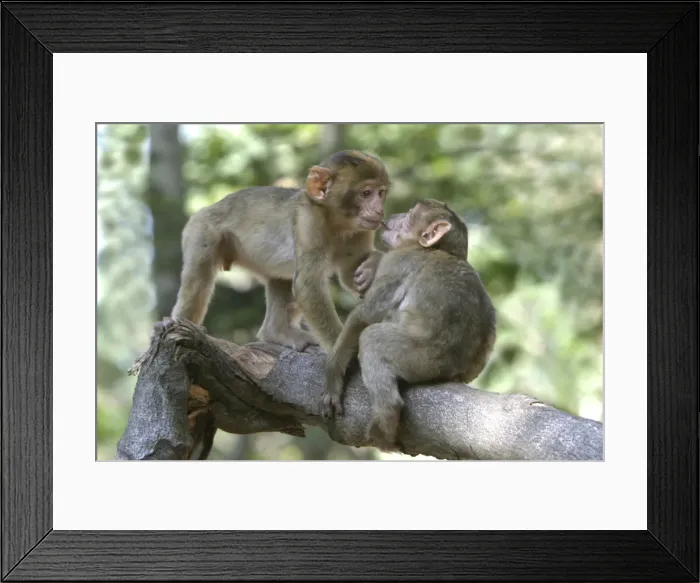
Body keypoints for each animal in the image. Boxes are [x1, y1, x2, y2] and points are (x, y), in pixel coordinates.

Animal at [170, 150, 391, 352]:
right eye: (366, 193)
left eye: (381, 193)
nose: (379, 210)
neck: (337, 222)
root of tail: (207, 208)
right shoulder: (309, 222)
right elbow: (308, 286)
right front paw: (343, 350)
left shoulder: (361, 231)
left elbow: (349, 273)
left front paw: (373, 265)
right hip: (201, 230)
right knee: (199, 278)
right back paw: (179, 324)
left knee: (280, 278)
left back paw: (275, 332)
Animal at [320, 198, 497, 451]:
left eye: (411, 213)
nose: (395, 214)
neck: (435, 250)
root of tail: (452, 369)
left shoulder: (398, 262)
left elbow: (364, 317)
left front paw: (333, 373)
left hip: (419, 358)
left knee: (372, 338)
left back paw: (384, 420)